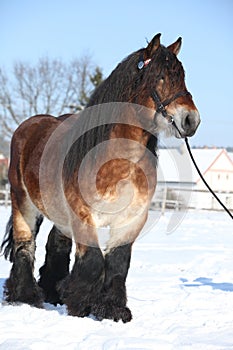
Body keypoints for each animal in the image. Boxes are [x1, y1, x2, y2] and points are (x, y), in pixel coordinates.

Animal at [0, 33, 200, 322]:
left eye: (182, 76)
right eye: (160, 77)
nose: (190, 120)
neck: (117, 162)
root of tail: (29, 126)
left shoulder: (132, 220)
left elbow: (117, 263)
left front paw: (112, 309)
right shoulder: (83, 215)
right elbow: (94, 261)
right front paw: (82, 304)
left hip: (59, 213)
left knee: (55, 245)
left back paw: (52, 292)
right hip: (23, 203)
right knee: (24, 244)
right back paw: (26, 296)